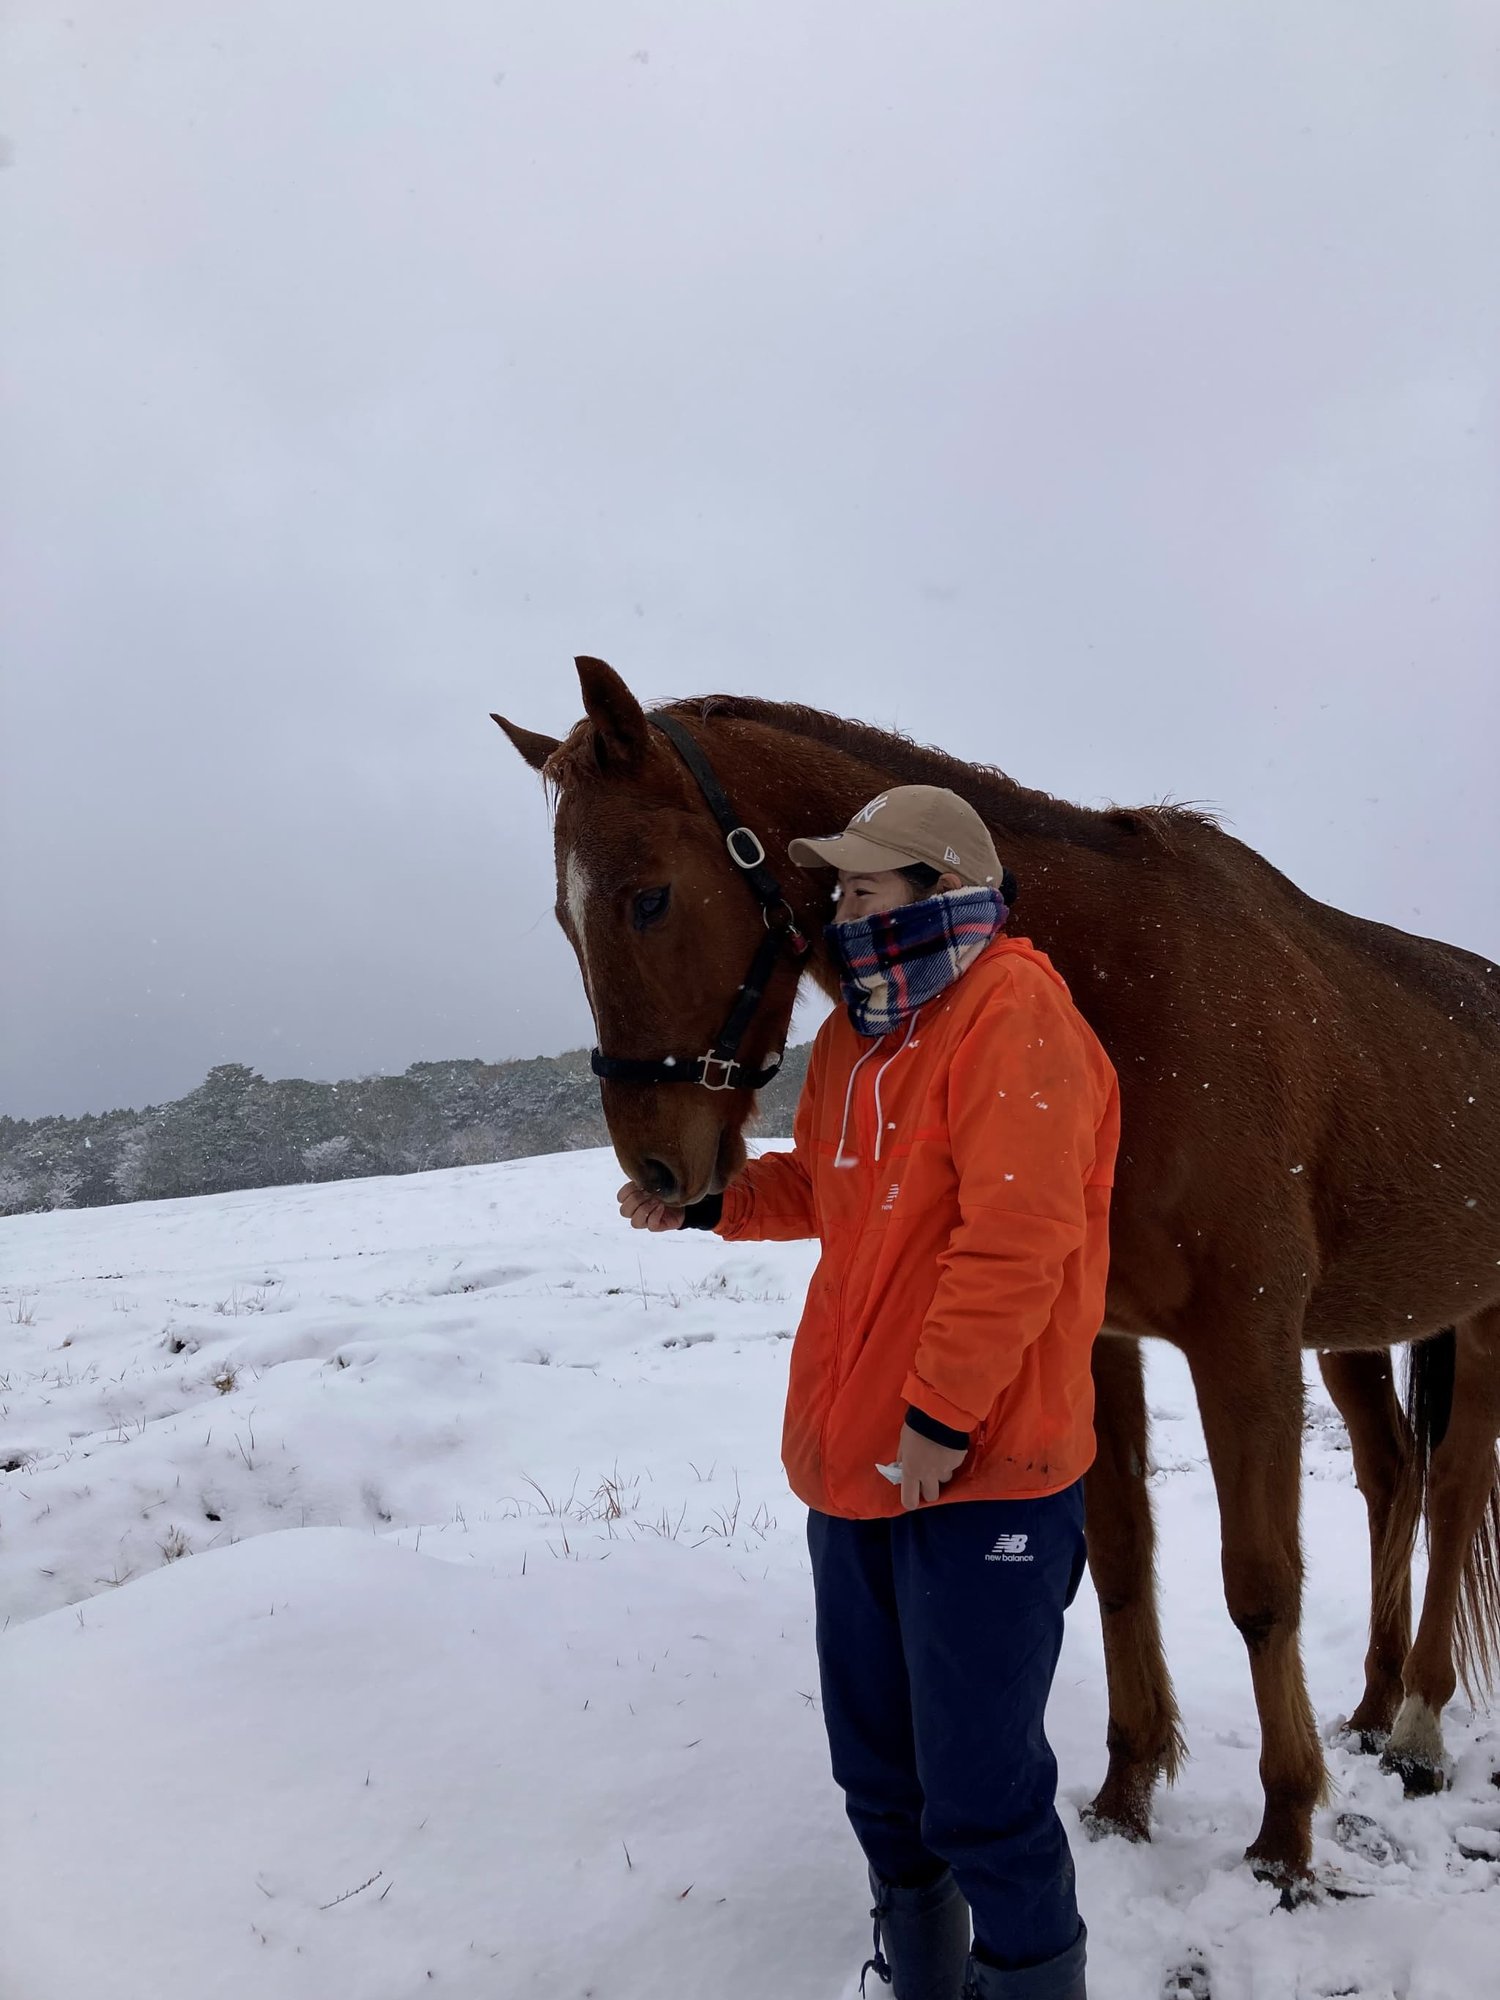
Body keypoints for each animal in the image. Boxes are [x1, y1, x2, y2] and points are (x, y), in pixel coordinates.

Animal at [493, 654, 1500, 1888]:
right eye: (564, 915)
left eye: (649, 897)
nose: (659, 1170)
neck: (1129, 989)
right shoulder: (1102, 1334)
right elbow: (1120, 1556)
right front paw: (1126, 1790)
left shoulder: (1245, 1339)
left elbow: (1260, 1587)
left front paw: (1284, 1831)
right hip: (1360, 1334)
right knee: (1395, 1475)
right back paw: (1373, 1700)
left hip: (1477, 1319)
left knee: (1454, 1485)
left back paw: (1419, 1724)